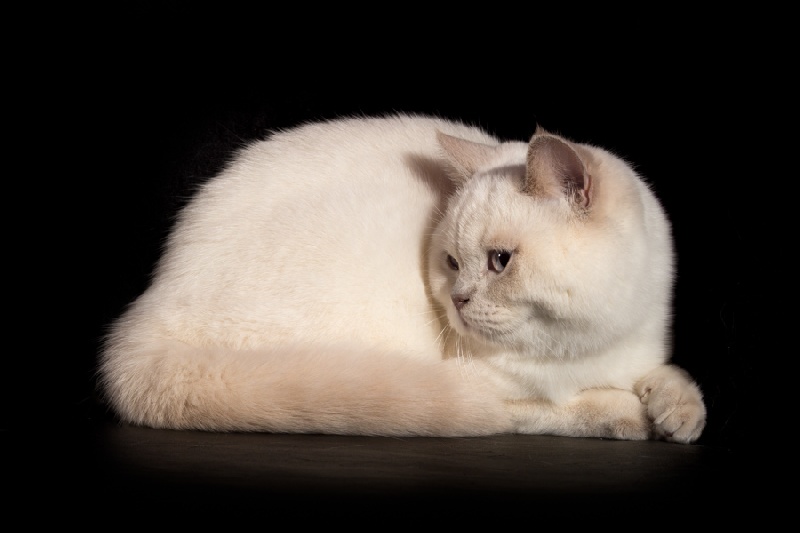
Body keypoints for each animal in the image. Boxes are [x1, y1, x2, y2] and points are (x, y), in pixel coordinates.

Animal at [98, 114, 708, 442]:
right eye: (453, 263)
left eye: (500, 261)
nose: (458, 300)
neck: (585, 351)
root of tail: (148, 311)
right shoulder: (506, 392)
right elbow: (565, 409)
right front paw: (634, 417)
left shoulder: (641, 351)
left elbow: (671, 377)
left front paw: (678, 415)